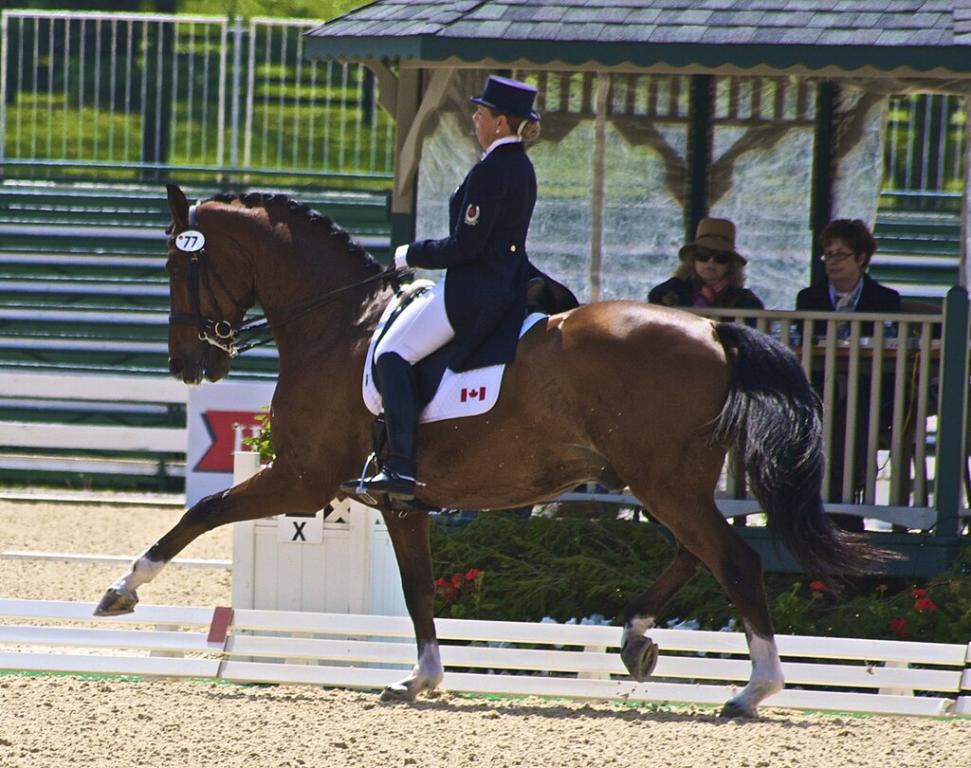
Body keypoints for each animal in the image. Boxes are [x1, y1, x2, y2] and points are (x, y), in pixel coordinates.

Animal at [96, 184, 883, 718]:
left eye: (177, 267)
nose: (187, 365)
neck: (339, 324)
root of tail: (715, 329)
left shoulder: (302, 477)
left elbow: (200, 512)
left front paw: (121, 591)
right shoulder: (399, 502)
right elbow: (417, 590)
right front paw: (419, 678)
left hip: (661, 482)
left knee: (736, 561)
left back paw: (754, 690)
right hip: (667, 482)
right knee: (698, 556)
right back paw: (636, 641)